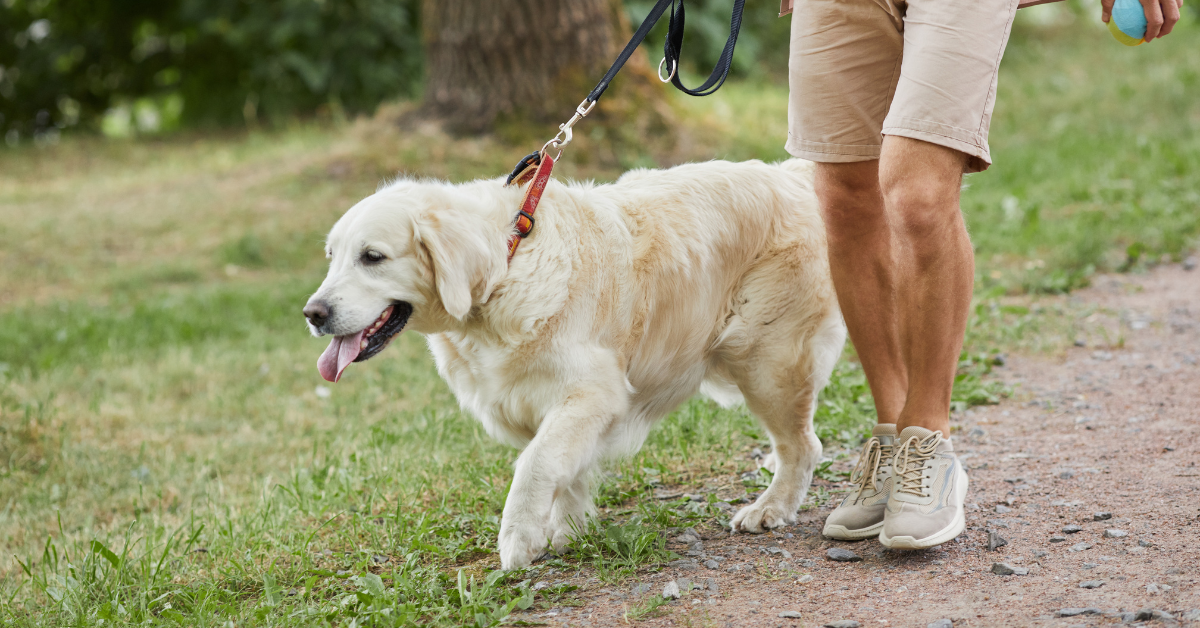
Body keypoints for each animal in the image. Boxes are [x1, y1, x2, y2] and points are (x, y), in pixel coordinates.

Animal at [302, 158, 844, 569]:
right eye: (331, 256)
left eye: (372, 257)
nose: (313, 313)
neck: (507, 268)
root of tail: (791, 173)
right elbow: (567, 469)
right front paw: (571, 528)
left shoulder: (592, 392)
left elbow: (535, 463)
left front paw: (519, 539)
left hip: (765, 361)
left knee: (804, 445)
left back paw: (770, 507)